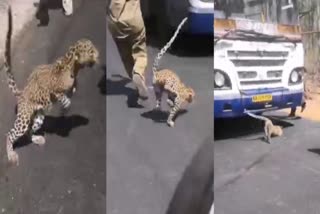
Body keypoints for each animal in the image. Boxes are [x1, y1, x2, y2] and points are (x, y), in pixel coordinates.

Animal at [1, 5, 99, 166]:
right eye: (91, 51)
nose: (98, 55)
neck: (74, 66)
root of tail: (21, 93)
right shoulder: (53, 89)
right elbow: (63, 97)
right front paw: (66, 105)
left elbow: (71, 91)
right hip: (24, 116)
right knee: (11, 133)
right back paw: (11, 154)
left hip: (38, 117)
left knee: (29, 130)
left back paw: (36, 138)